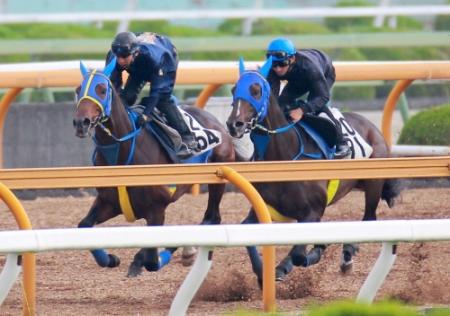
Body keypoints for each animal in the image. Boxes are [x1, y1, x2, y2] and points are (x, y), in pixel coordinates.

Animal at [72, 58, 234, 276]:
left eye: (102, 89)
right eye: (78, 89)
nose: (81, 122)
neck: (123, 152)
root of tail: (217, 123)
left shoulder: (156, 209)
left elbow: (151, 260)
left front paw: (140, 260)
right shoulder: (109, 202)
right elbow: (84, 226)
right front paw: (111, 258)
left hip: (217, 180)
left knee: (212, 218)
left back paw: (186, 249)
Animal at [225, 58, 400, 286]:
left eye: (256, 90)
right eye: (233, 90)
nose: (234, 124)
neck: (283, 158)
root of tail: (372, 126)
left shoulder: (313, 212)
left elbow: (300, 254)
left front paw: (313, 251)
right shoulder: (263, 208)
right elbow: (248, 239)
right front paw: (265, 274)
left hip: (373, 185)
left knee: (369, 218)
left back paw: (347, 254)